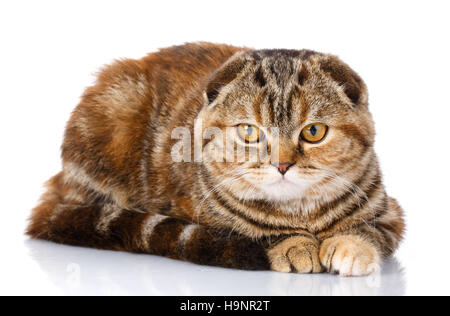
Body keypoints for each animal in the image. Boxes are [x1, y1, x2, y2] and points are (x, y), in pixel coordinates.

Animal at [27, 42, 404, 276]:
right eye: (250, 132)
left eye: (313, 132)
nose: (282, 165)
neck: (300, 214)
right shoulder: (199, 215)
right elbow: (256, 231)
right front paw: (293, 245)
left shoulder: (392, 214)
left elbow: (371, 231)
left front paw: (351, 248)